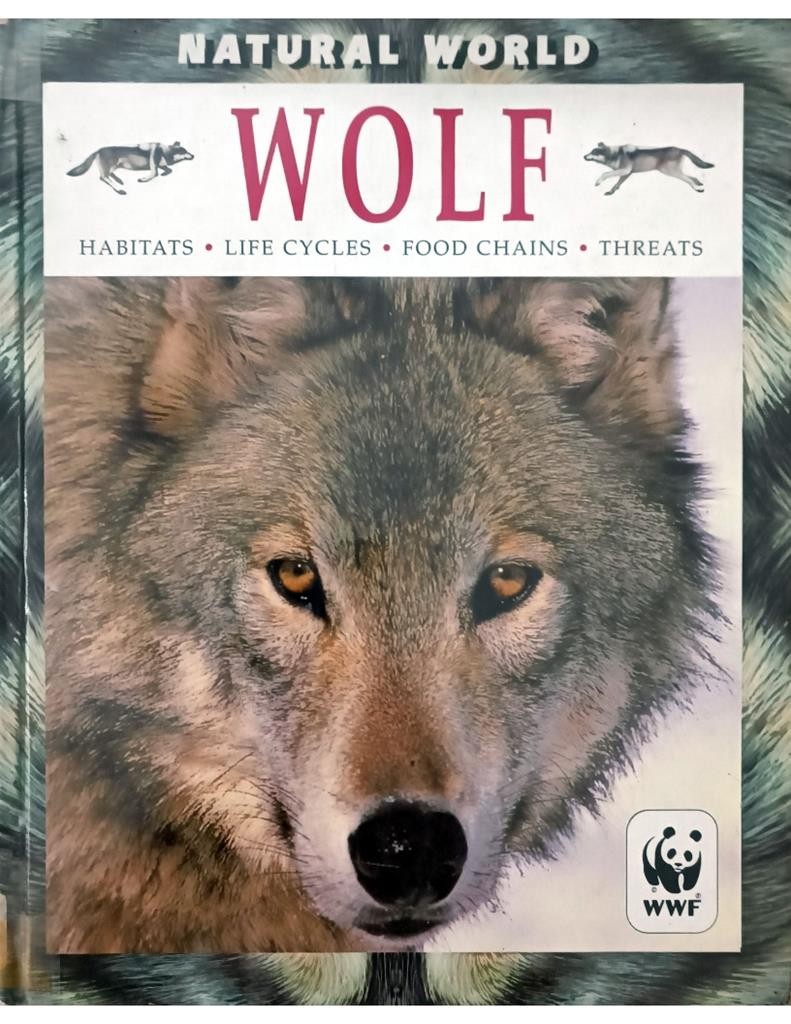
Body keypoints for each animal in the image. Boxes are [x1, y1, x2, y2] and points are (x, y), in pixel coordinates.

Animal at [66, 141, 194, 195]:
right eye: (184, 151)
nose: (193, 155)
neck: (164, 151)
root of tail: (97, 150)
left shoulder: (161, 165)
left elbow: (169, 170)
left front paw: (164, 173)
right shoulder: (154, 166)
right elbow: (154, 174)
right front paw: (143, 179)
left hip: (115, 165)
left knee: (107, 175)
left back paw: (119, 181)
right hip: (111, 166)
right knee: (104, 177)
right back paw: (119, 189)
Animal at [584, 143, 714, 195]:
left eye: (594, 152)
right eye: (590, 151)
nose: (583, 156)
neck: (615, 154)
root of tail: (680, 149)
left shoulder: (625, 170)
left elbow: (605, 173)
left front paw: (598, 182)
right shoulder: (627, 173)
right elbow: (618, 183)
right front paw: (611, 191)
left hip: (670, 171)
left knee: (689, 179)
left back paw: (697, 188)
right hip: (674, 171)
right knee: (693, 177)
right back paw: (699, 183)